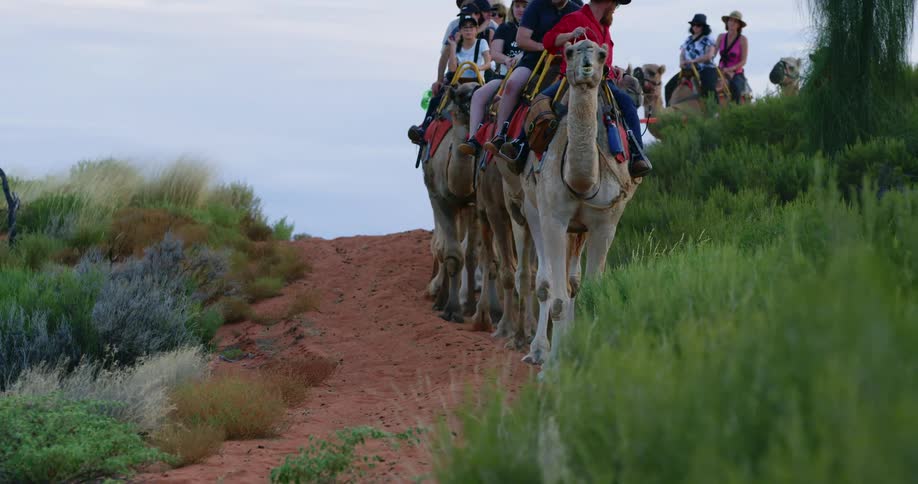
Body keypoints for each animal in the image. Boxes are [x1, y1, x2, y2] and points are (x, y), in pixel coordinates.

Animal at [519, 40, 639, 366]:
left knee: (572, 280)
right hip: (533, 210)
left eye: (601, 54)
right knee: (546, 282)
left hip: (581, 228)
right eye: (570, 52)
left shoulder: (605, 223)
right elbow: (557, 296)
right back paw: (538, 350)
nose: (586, 67)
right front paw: (553, 364)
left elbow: (589, 293)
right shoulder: (553, 218)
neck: (583, 182)